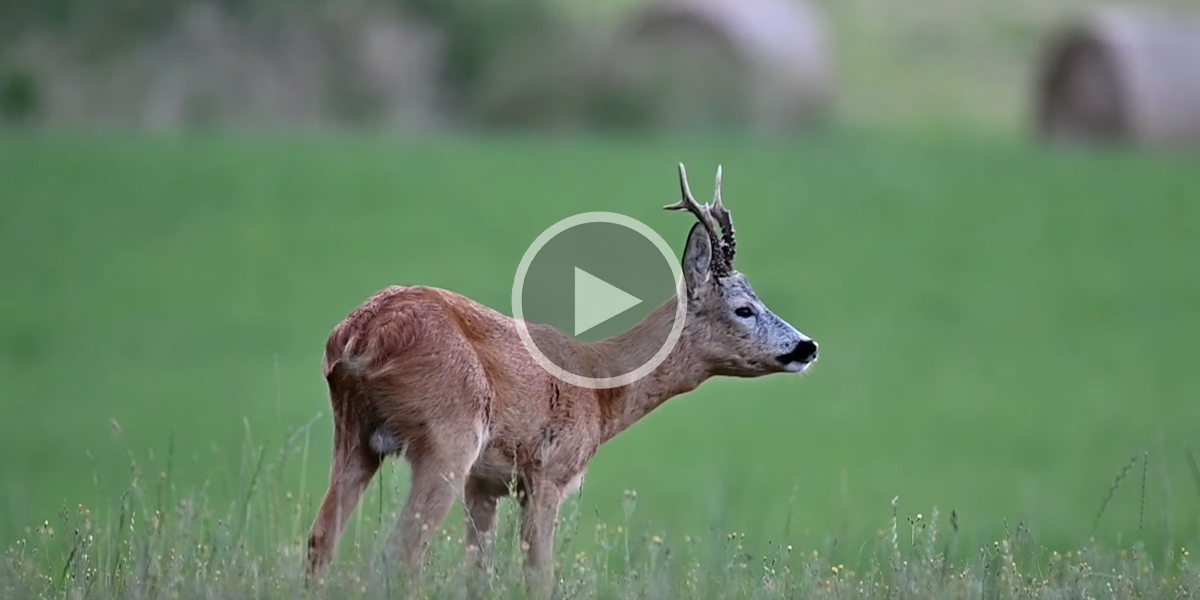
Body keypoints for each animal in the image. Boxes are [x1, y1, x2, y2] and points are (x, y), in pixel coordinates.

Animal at [304, 162, 820, 597]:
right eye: (744, 308)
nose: (807, 346)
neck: (600, 385)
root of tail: (361, 336)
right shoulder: (547, 471)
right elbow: (539, 575)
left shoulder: (484, 484)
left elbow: (479, 575)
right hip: (448, 434)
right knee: (399, 553)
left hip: (355, 433)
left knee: (321, 539)